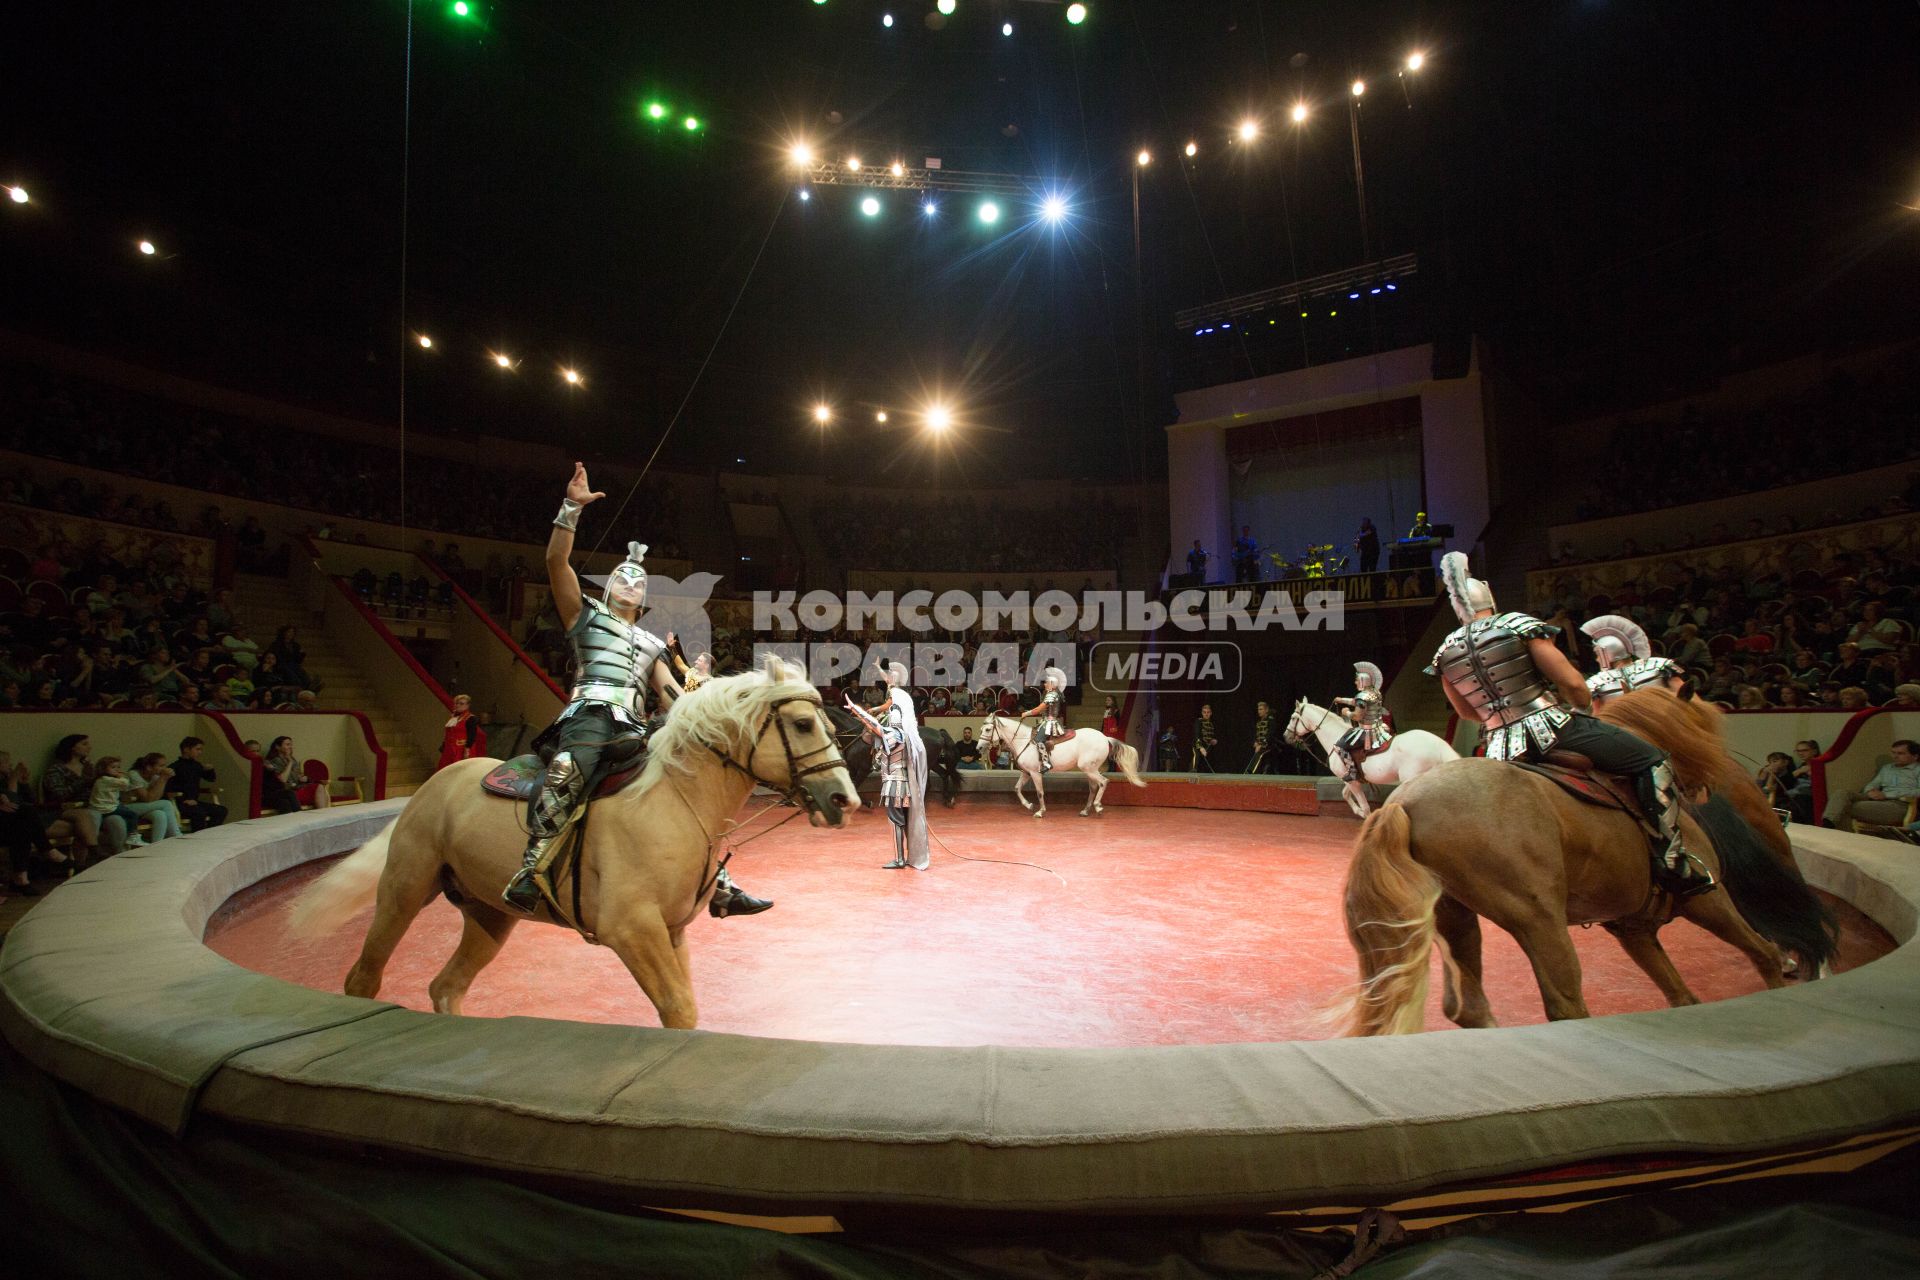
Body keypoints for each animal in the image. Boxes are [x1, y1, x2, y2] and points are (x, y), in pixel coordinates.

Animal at [284, 660, 856, 1028]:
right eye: (803, 724)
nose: (843, 798)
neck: (672, 802)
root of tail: (435, 784)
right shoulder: (631, 930)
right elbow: (679, 1008)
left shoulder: (670, 933)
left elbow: (683, 1008)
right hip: (404, 891)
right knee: (364, 977)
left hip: (488, 916)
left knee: (446, 987)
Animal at [825, 706, 960, 805]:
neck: (855, 736)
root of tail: (939, 733)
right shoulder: (852, 768)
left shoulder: (863, 770)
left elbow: (855, 786)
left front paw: (867, 803)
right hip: (933, 763)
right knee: (943, 775)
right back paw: (947, 799)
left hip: (926, 764)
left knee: (928, 783)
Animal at [983, 710, 1144, 821]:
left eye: (987, 729)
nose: (980, 747)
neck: (1023, 741)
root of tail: (1104, 737)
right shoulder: (1026, 773)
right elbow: (1017, 788)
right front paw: (1029, 805)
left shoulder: (1035, 773)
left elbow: (1040, 792)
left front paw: (1040, 811)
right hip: (1090, 769)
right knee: (1094, 788)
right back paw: (1085, 811)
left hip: (1089, 768)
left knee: (1103, 782)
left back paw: (1098, 806)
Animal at [1290, 702, 1451, 821]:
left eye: (1292, 718)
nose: (1287, 736)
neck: (1334, 737)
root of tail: (1439, 745)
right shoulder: (1352, 779)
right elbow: (1345, 794)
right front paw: (1359, 811)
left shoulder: (1352, 781)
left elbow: (1365, 806)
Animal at [1336, 687, 1827, 1036]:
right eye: (1706, 724)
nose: (1728, 776)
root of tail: (1406, 803)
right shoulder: (1707, 899)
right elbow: (1760, 952)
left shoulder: (1634, 927)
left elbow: (1682, 995)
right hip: (1538, 919)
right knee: (1565, 1004)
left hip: (1456, 915)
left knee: (1470, 1006)